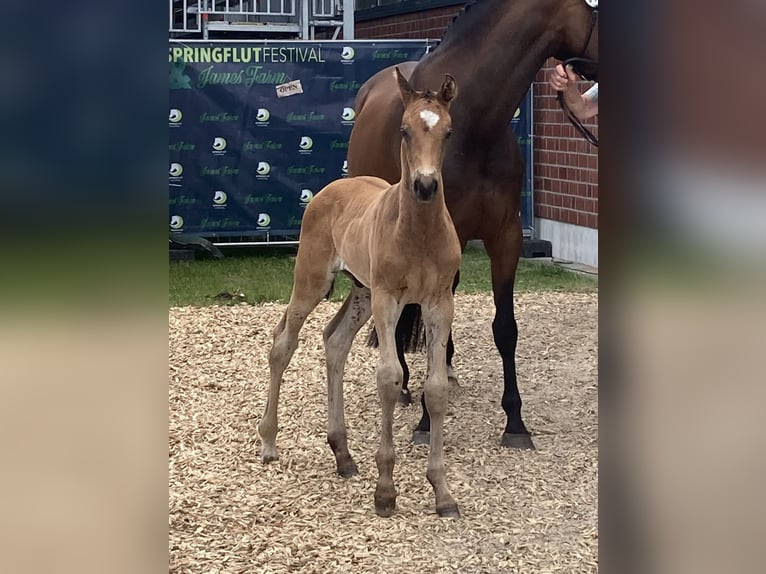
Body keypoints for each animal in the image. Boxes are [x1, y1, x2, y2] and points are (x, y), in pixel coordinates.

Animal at [258, 68, 462, 518]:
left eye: (449, 132)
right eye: (404, 130)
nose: (425, 186)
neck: (419, 232)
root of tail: (329, 190)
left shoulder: (440, 302)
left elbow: (437, 388)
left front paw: (442, 492)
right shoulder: (389, 299)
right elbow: (389, 378)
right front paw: (385, 491)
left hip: (361, 292)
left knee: (335, 341)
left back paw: (343, 455)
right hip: (314, 279)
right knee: (283, 343)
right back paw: (267, 442)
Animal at [347, 0, 599, 450]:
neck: (475, 125)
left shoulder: (506, 235)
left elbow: (505, 328)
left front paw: (515, 422)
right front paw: (425, 421)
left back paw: (444, 372)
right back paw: (407, 384)